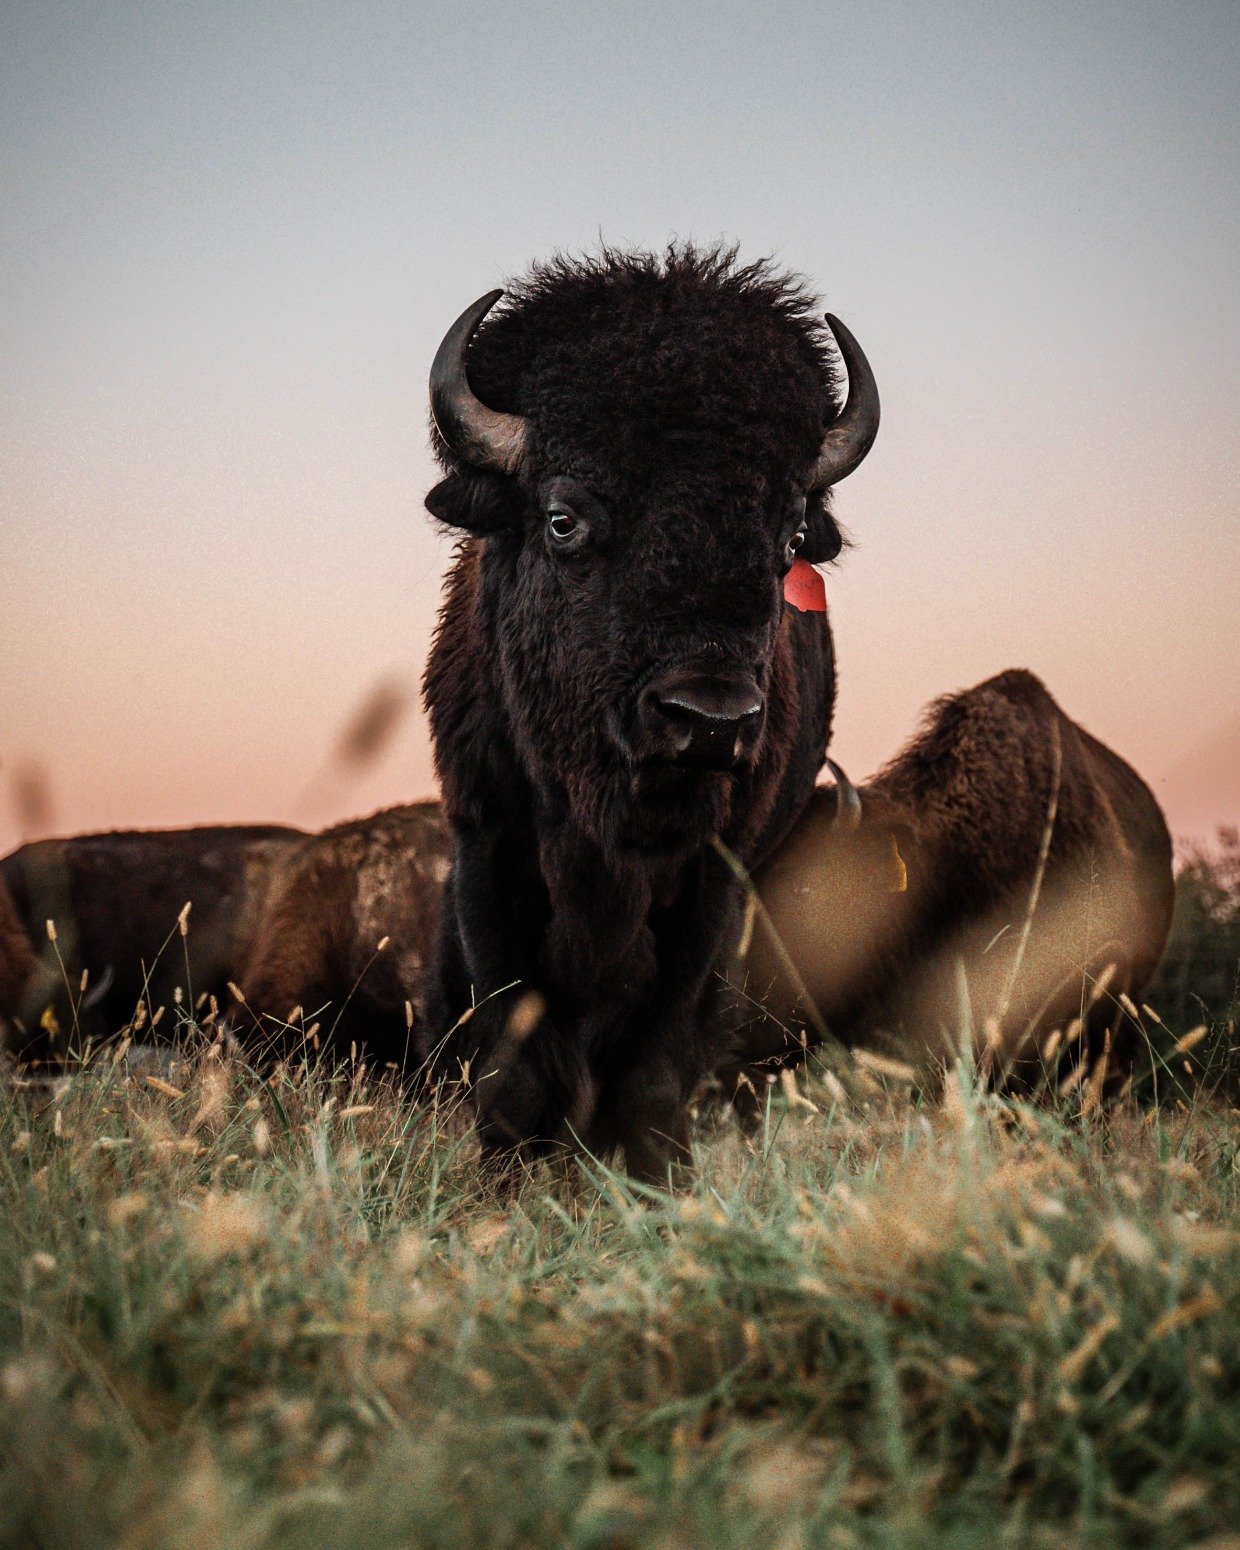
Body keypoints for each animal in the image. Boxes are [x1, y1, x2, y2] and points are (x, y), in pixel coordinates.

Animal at [421, 248, 874, 1178]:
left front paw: (662, 1175)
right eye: (562, 519)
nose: (710, 719)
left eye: (785, 540)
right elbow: (512, 1051)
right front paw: (504, 1176)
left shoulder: (712, 878)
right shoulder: (488, 844)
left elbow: (658, 1059)